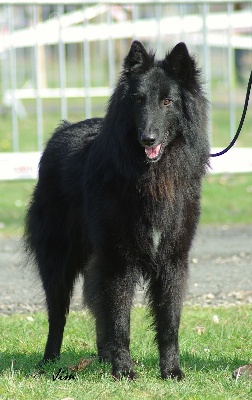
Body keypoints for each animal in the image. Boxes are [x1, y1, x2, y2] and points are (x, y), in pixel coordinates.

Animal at [24, 41, 209, 382]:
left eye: (167, 102)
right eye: (138, 101)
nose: (148, 138)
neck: (151, 176)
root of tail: (62, 130)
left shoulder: (172, 259)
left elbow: (169, 321)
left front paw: (171, 371)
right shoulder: (118, 260)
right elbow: (120, 319)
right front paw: (124, 370)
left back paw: (101, 357)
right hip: (58, 260)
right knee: (58, 315)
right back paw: (49, 363)